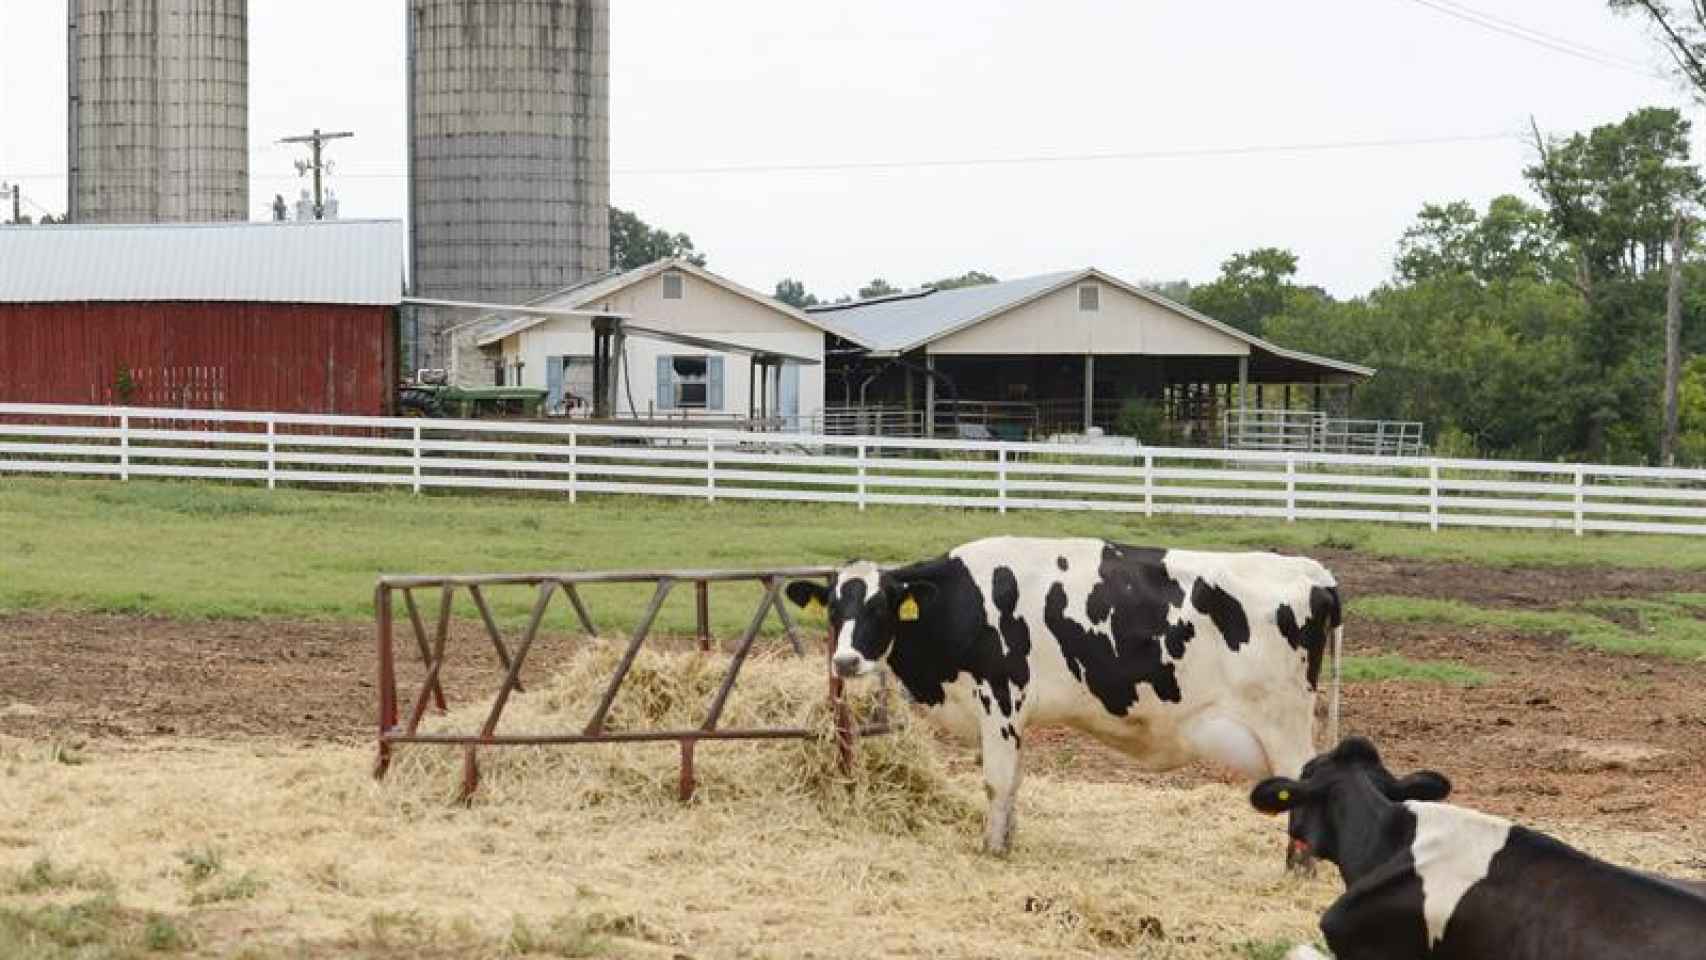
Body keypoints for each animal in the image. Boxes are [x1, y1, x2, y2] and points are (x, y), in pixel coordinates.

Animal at [784, 532, 1344, 855]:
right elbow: (1015, 783)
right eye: (833, 608)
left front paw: (991, 849)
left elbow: (996, 782)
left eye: (880, 607)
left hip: (1284, 723)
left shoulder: (1000, 699)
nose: (845, 661)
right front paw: (1008, 842)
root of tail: (1310, 571)